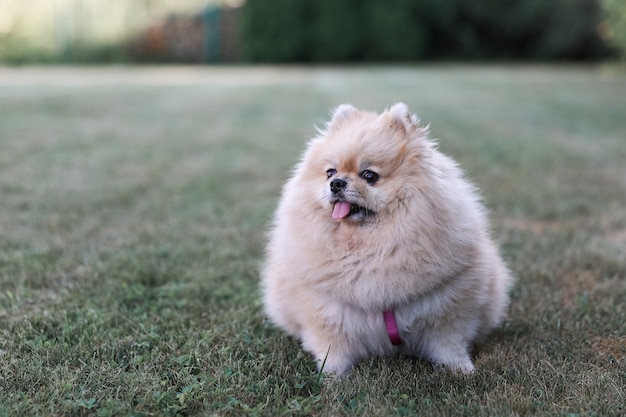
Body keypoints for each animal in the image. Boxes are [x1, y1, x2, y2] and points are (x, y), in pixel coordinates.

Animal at [260, 103, 510, 374]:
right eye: (330, 172)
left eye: (369, 175)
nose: (336, 183)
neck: (372, 244)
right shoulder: (326, 312)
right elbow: (332, 348)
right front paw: (331, 375)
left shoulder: (449, 309)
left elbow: (449, 344)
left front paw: (461, 369)